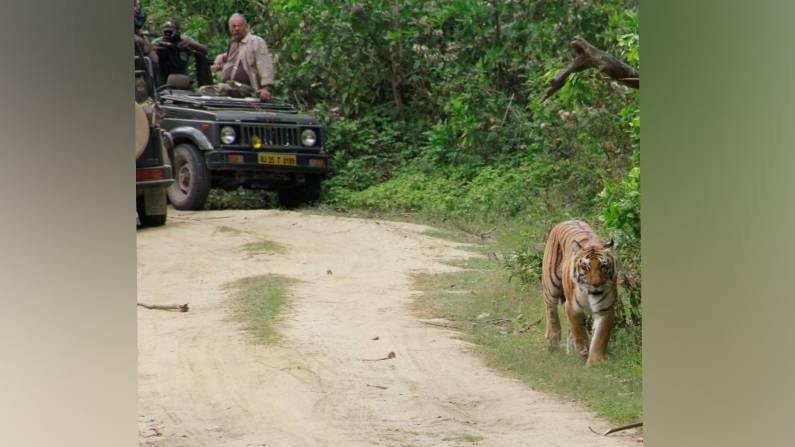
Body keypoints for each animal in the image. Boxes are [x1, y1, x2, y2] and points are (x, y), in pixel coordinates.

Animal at [536, 220, 620, 368]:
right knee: (551, 310)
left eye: (603, 266)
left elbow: (600, 337)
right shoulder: (572, 307)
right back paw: (553, 341)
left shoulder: (606, 310)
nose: (595, 284)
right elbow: (579, 331)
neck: (590, 294)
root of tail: (566, 221)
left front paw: (594, 362)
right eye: (585, 267)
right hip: (550, 285)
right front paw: (583, 351)